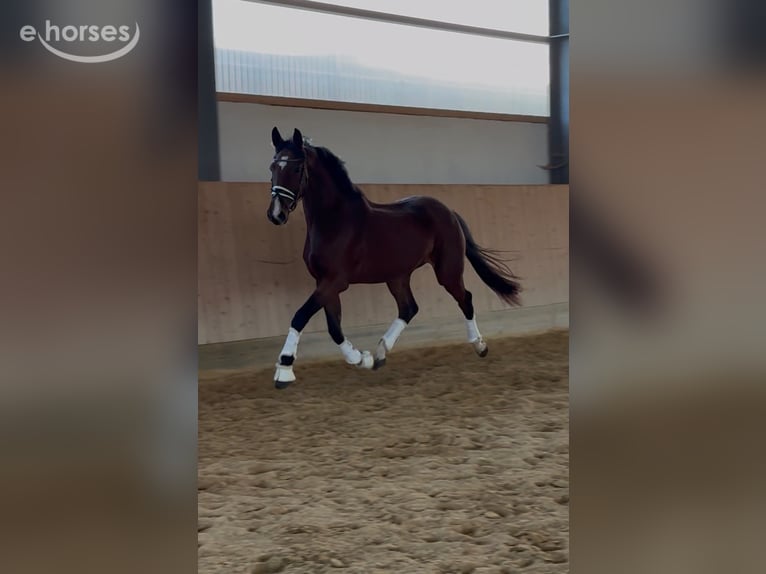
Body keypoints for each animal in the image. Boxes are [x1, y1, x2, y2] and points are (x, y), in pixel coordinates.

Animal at [267, 127, 521, 389]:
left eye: (297, 168)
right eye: (272, 167)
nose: (276, 214)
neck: (335, 221)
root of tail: (449, 212)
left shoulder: (335, 281)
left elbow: (300, 316)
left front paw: (284, 370)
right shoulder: (324, 282)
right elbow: (334, 327)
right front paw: (362, 359)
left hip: (447, 270)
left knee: (465, 299)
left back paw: (480, 345)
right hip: (398, 276)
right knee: (409, 308)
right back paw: (380, 353)